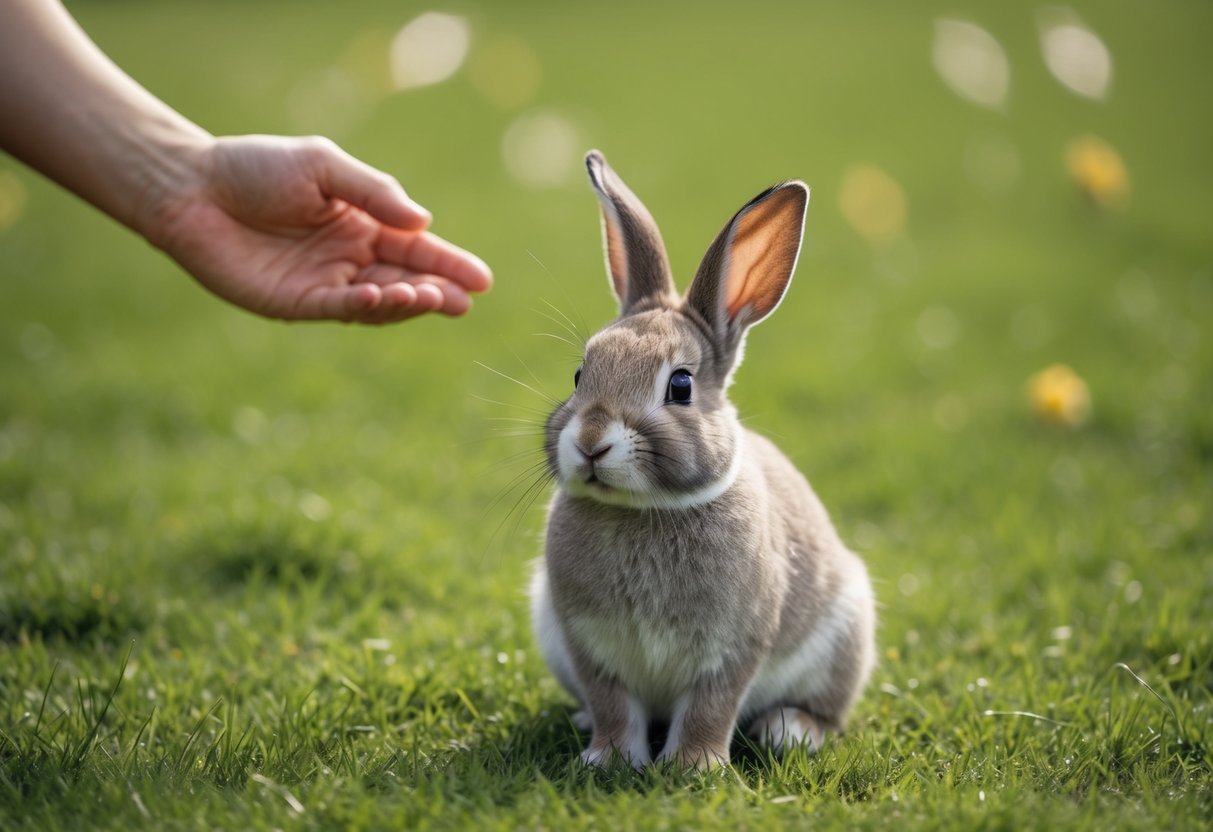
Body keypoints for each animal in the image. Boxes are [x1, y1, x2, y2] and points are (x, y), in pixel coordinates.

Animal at [530, 150, 876, 769]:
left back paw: (792, 730)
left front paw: (692, 767)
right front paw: (608, 758)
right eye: (579, 374)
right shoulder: (590, 647)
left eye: (681, 385)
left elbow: (710, 707)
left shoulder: (733, 649)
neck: (645, 509)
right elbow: (613, 704)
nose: (590, 440)